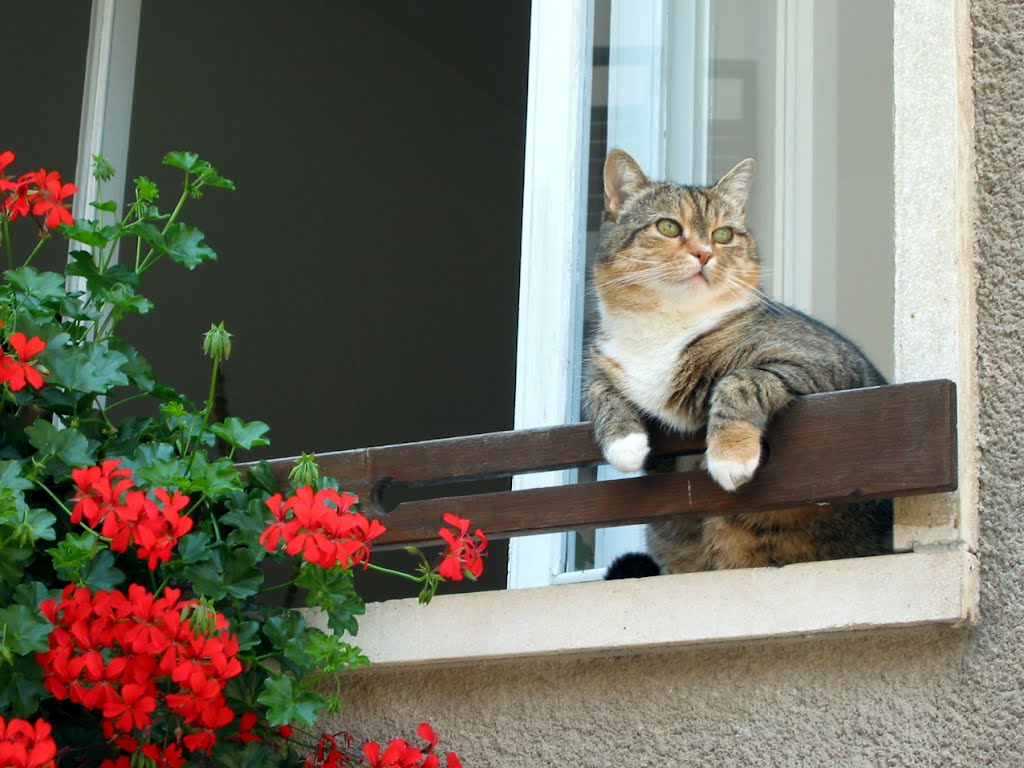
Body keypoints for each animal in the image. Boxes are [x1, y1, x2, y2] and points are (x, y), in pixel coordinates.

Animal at [589, 148, 892, 577]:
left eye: (723, 235)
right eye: (668, 226)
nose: (704, 254)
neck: (667, 326)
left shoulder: (821, 363)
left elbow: (739, 381)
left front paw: (729, 456)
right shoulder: (605, 362)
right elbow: (598, 390)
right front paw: (625, 445)